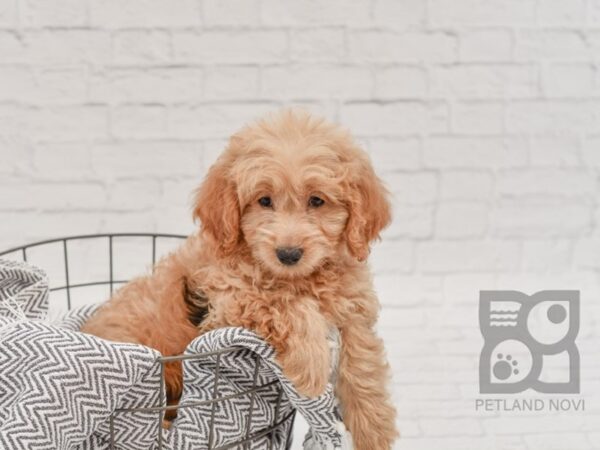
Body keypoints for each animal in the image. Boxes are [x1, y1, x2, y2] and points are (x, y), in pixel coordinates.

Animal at [79, 110, 398, 450]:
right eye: (264, 201)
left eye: (316, 201)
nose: (288, 254)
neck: (297, 278)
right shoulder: (229, 302)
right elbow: (282, 304)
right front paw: (311, 366)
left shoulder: (353, 306)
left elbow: (362, 358)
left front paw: (372, 429)